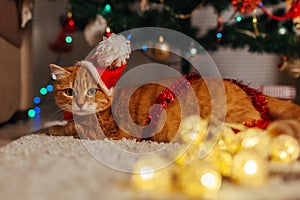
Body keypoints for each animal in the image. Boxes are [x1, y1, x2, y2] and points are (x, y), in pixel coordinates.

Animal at [48, 61, 300, 143]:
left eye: (92, 91)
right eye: (69, 92)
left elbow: (69, 129)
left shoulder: (107, 134)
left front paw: (52, 130)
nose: (80, 103)